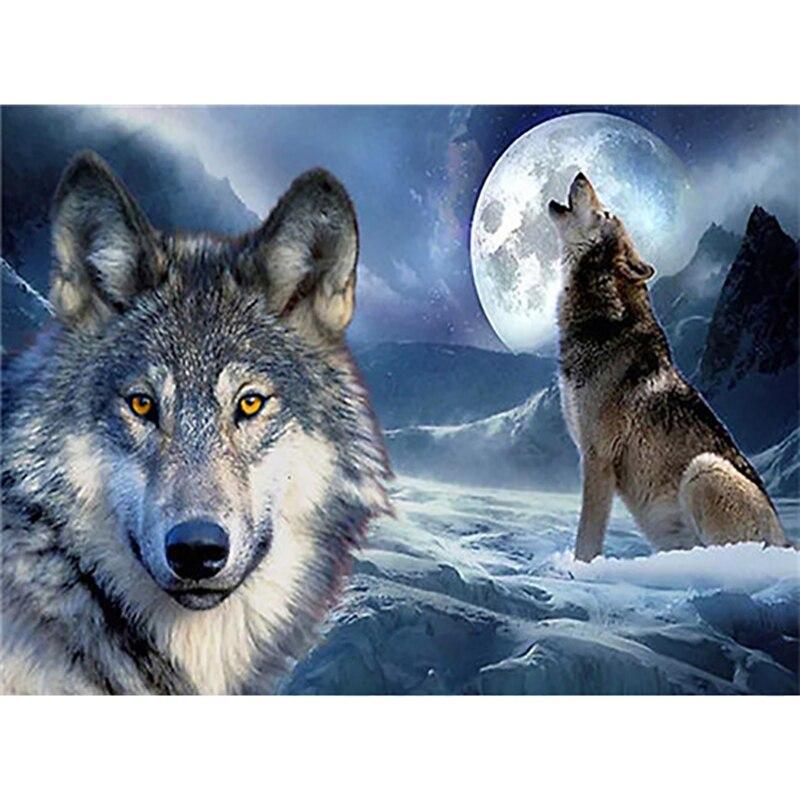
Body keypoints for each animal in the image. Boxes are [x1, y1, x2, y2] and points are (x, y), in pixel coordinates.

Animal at [549, 172, 787, 562]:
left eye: (606, 212)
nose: (581, 174)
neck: (603, 323)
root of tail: (786, 541)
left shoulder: (597, 457)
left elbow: (587, 538)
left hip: (704, 469)